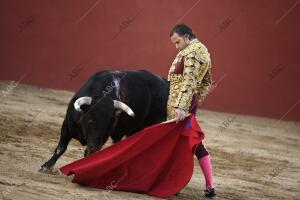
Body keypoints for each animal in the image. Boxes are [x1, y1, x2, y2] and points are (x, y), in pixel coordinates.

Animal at [39, 69, 170, 171]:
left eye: (108, 121)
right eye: (90, 118)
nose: (95, 146)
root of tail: (166, 83)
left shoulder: (103, 137)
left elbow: (89, 154)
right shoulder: (67, 125)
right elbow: (61, 148)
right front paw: (46, 166)